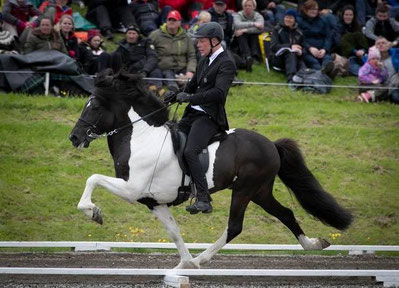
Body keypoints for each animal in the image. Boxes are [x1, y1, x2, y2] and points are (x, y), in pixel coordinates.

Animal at [70, 70, 354, 270]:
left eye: (95, 106)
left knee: (235, 226)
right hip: (260, 191)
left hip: (245, 189)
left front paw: (93, 212)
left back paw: (203, 258)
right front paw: (185, 264)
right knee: (285, 214)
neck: (141, 137)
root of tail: (270, 144)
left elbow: (93, 178)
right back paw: (314, 244)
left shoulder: (132, 188)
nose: (74, 138)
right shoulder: (153, 201)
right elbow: (174, 232)